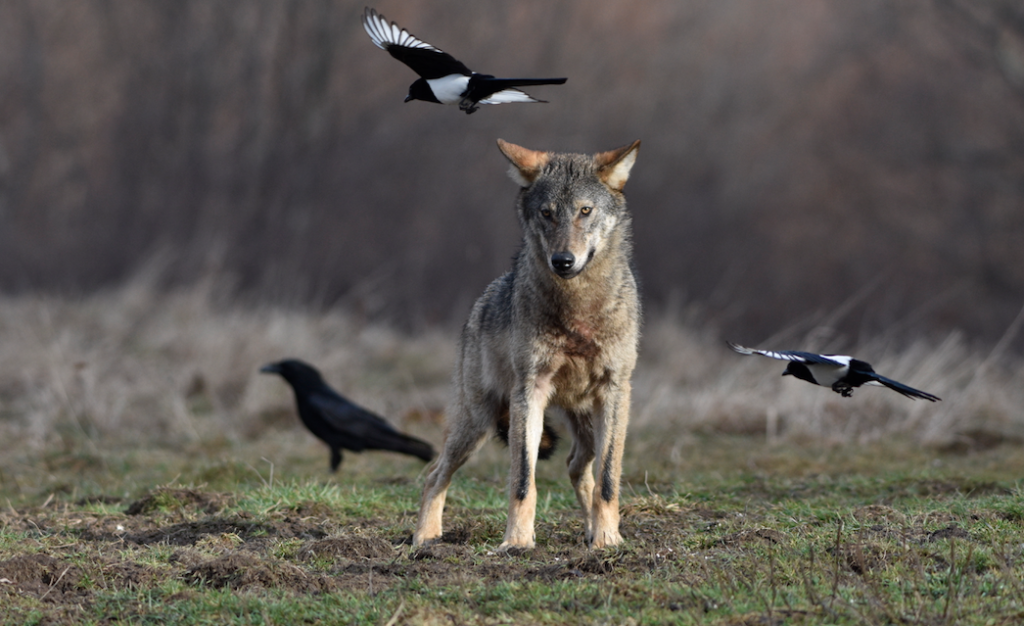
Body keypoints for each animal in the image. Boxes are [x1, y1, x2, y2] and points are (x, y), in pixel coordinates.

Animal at [262, 360, 434, 473]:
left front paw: (327, 475)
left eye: (284, 365)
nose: (266, 368)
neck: (308, 390)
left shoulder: (332, 439)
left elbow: (336, 459)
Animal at [362, 8, 569, 114]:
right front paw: (470, 107)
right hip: (484, 89)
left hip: (473, 83)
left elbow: (399, 50)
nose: (406, 98)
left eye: (412, 89)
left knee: (471, 89)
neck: (429, 86)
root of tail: (481, 78)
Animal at [413, 136, 638, 549]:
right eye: (547, 213)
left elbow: (608, 481)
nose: (563, 260)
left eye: (585, 211)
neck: (577, 311)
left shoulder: (616, 391)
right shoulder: (529, 391)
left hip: (587, 423)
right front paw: (517, 542)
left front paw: (607, 540)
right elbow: (522, 481)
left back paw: (590, 532)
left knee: (577, 467)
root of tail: (480, 303)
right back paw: (425, 540)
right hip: (476, 425)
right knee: (435, 473)